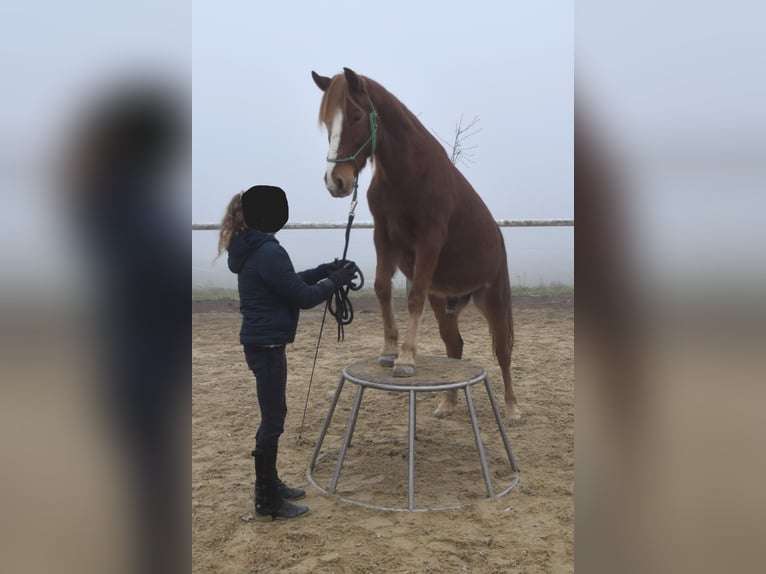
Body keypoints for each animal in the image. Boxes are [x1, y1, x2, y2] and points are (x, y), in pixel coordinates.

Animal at [312, 67, 520, 420]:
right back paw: (447, 404)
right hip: (445, 303)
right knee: (455, 346)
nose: (335, 182)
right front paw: (388, 351)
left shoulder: (429, 241)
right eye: (327, 122)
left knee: (503, 350)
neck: (407, 175)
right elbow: (382, 288)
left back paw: (511, 406)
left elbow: (414, 297)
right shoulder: (383, 238)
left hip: (493, 297)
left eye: (355, 116)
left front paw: (406, 360)